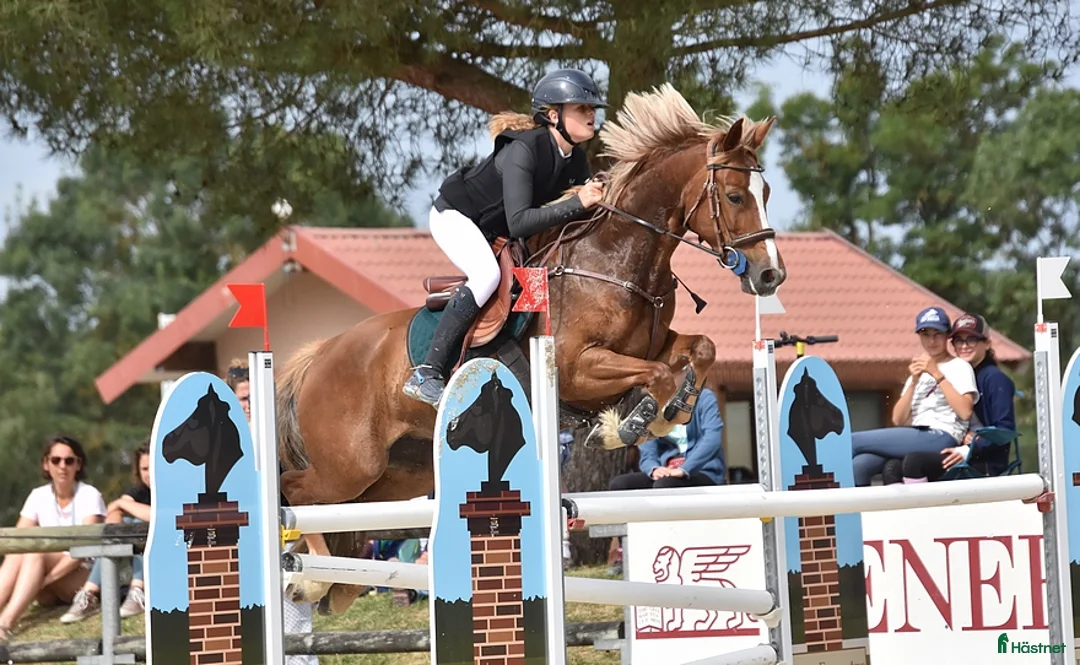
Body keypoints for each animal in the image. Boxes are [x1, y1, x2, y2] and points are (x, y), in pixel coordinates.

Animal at [276, 83, 787, 612]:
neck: (619, 258)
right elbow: (658, 376)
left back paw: (334, 582)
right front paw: (629, 423)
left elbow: (700, 349)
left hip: (398, 475)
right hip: (351, 464)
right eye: (734, 195)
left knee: (342, 510)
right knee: (295, 491)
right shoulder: (577, 368)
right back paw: (309, 576)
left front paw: (668, 412)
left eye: (766, 194)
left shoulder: (657, 345)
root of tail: (320, 353)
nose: (771, 275)